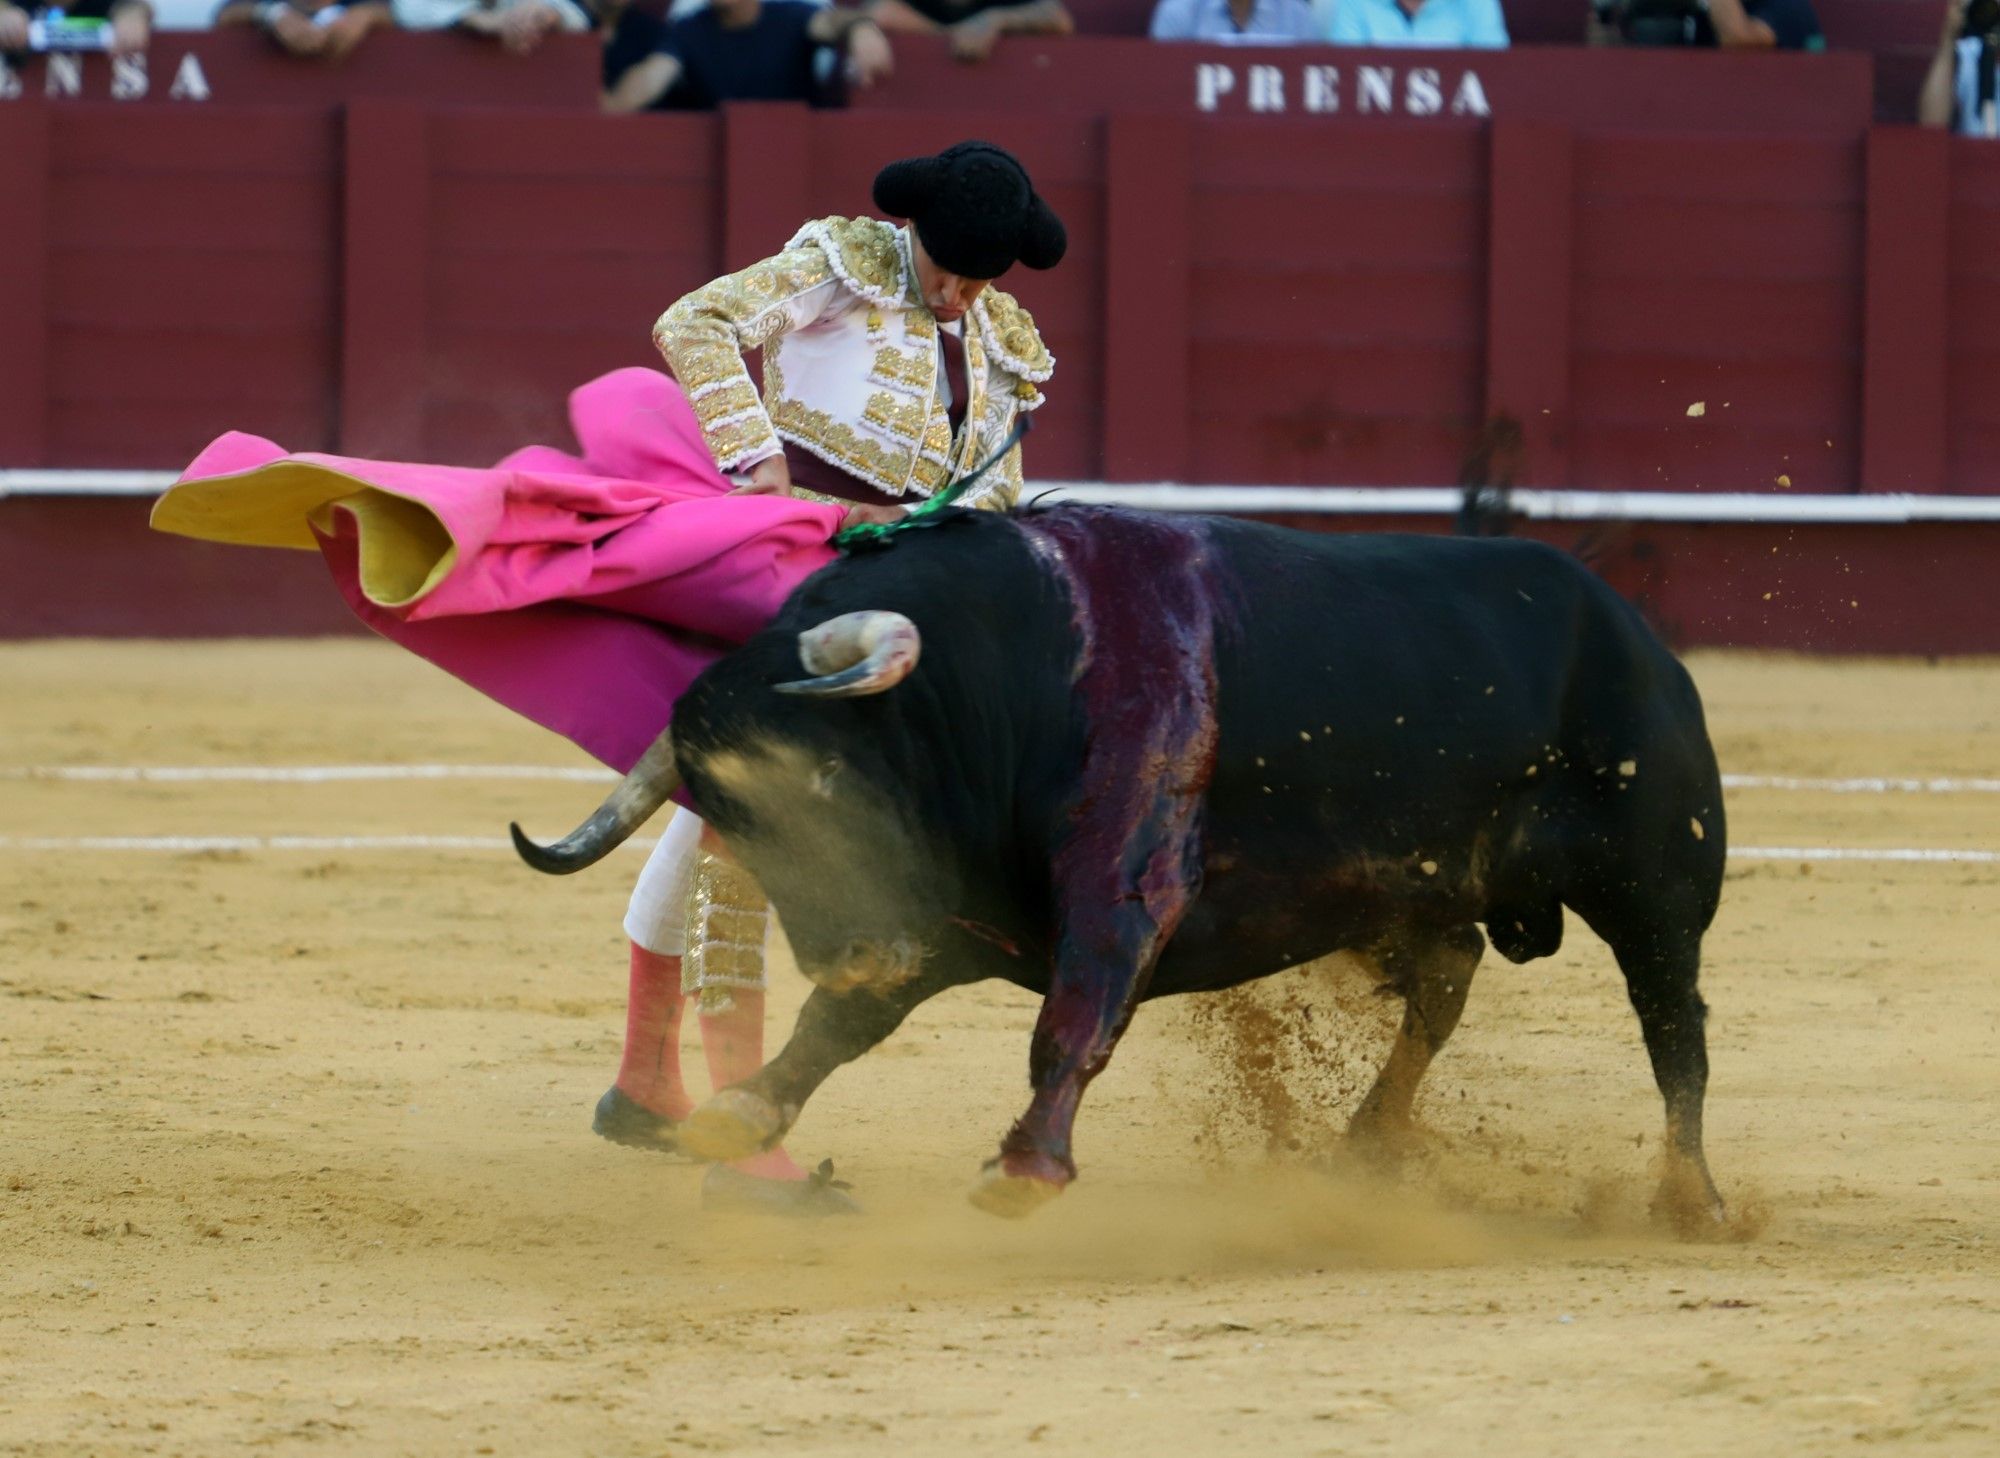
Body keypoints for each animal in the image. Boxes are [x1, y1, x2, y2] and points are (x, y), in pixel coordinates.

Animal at [512, 506, 1736, 1224]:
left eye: (824, 776)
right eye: (727, 816)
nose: (849, 946)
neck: (1009, 669)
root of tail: (1633, 628)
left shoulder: (1125, 883)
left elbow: (1076, 1015)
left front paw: (1023, 1170)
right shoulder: (940, 916)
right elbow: (838, 1026)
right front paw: (739, 1115)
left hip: (1655, 888)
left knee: (1673, 1026)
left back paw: (1689, 1198)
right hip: (1412, 885)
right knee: (1446, 976)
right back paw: (1363, 1149)